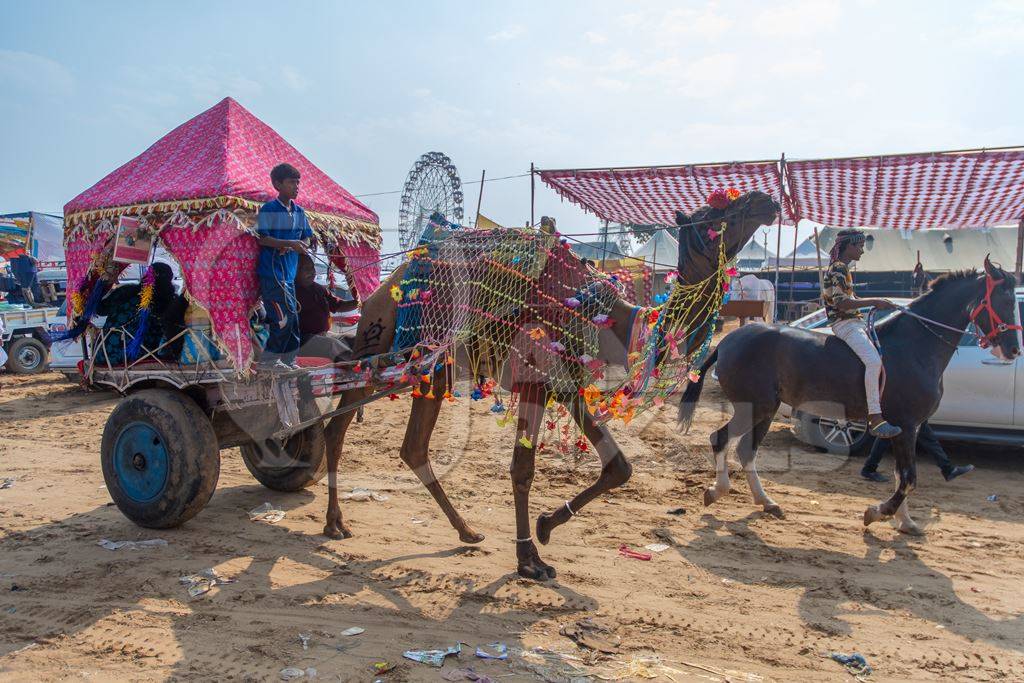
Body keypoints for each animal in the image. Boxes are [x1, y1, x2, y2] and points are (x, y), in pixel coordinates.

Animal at [317, 189, 774, 581]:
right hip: (378, 347)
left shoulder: (567, 386)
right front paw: (528, 559)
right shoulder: (534, 380)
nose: (764, 200)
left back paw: (466, 531)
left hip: (434, 368)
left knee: (412, 447)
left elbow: (620, 466)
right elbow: (523, 469)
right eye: (713, 213)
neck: (605, 318)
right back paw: (335, 522)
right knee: (337, 426)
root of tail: (377, 290)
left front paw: (546, 526)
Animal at [675, 258, 1019, 532]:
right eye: (1004, 299)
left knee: (746, 450)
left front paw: (905, 521)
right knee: (721, 438)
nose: (1013, 349)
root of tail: (728, 341)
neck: (916, 347)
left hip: (766, 408)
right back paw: (719, 490)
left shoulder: (908, 428)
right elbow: (908, 477)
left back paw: (766, 501)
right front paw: (879, 512)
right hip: (755, 406)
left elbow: (901, 475)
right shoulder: (907, 425)